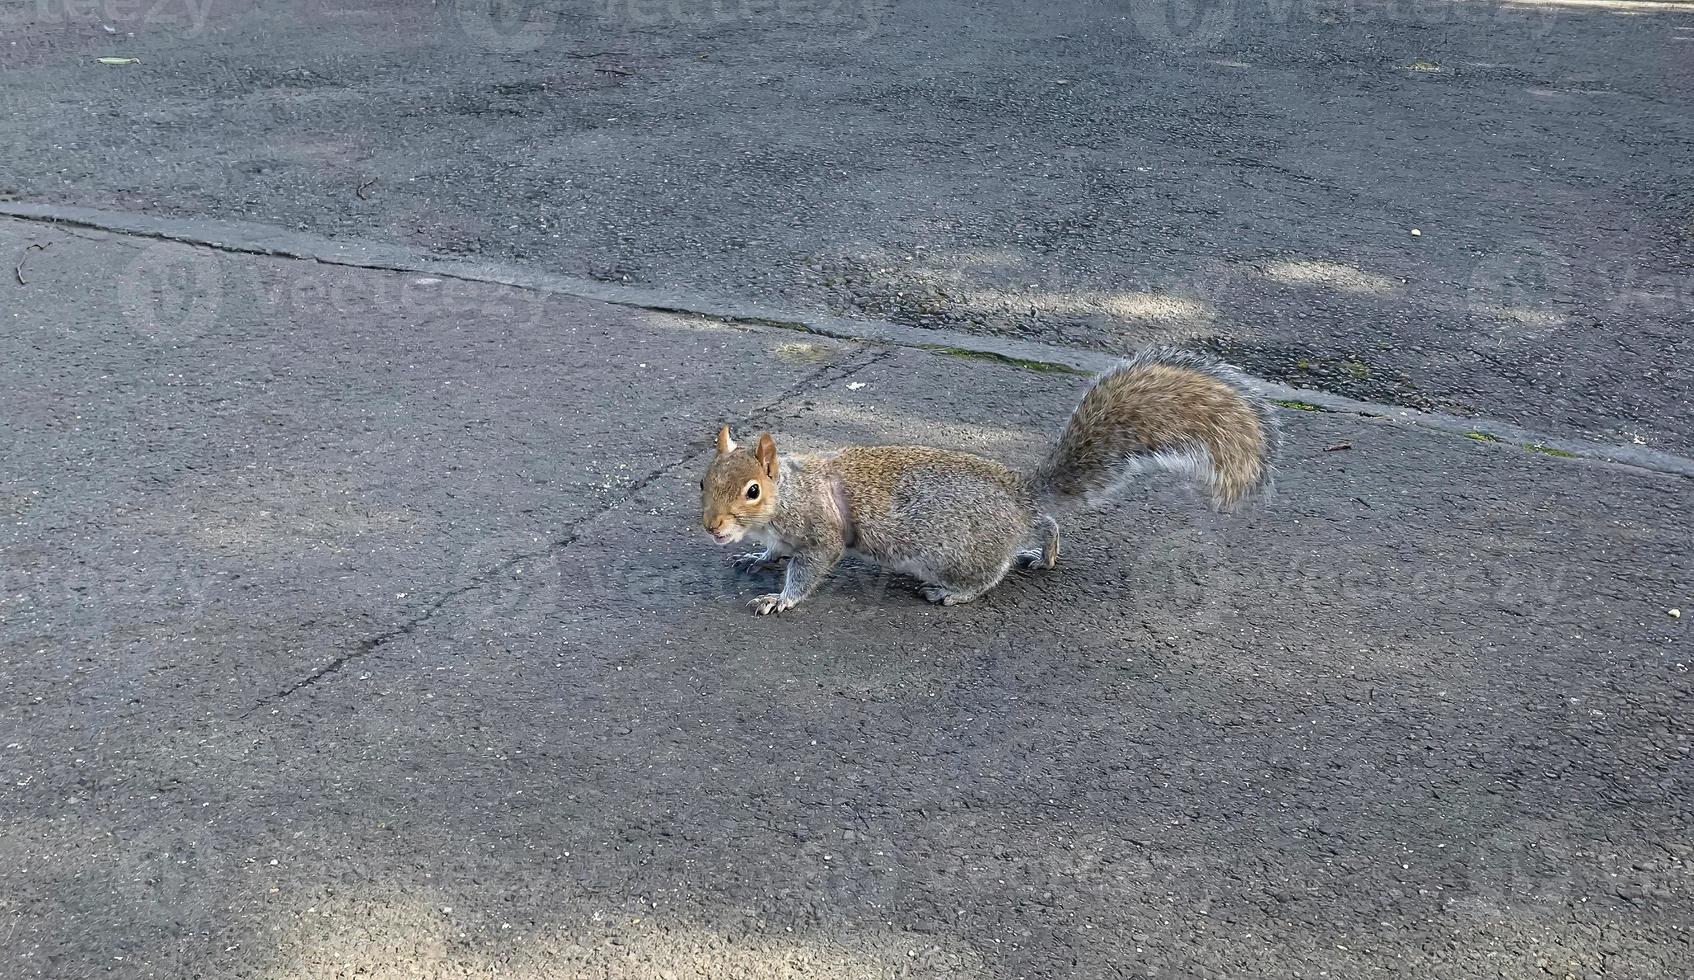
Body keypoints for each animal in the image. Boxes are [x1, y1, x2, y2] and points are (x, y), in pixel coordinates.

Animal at [700, 345, 1278, 615]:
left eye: (752, 490)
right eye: (703, 482)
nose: (712, 527)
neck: (790, 493)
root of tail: (1021, 495)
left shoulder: (819, 533)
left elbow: (809, 568)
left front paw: (780, 598)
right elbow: (772, 552)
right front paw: (754, 558)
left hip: (956, 551)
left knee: (987, 576)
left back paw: (952, 593)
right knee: (1045, 525)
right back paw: (1042, 551)